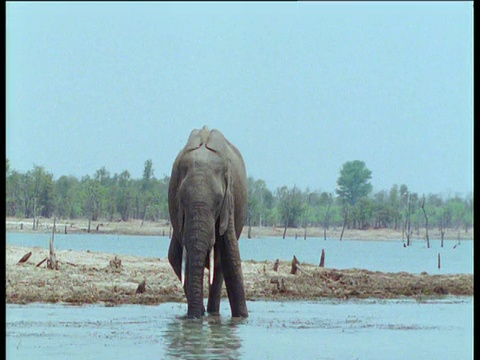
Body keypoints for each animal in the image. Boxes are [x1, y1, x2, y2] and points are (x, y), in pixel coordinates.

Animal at [168, 126, 248, 318]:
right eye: (181, 199)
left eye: (218, 201)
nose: (195, 316)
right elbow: (181, 257)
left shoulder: (229, 201)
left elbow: (231, 257)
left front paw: (242, 318)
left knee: (219, 265)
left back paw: (212, 313)